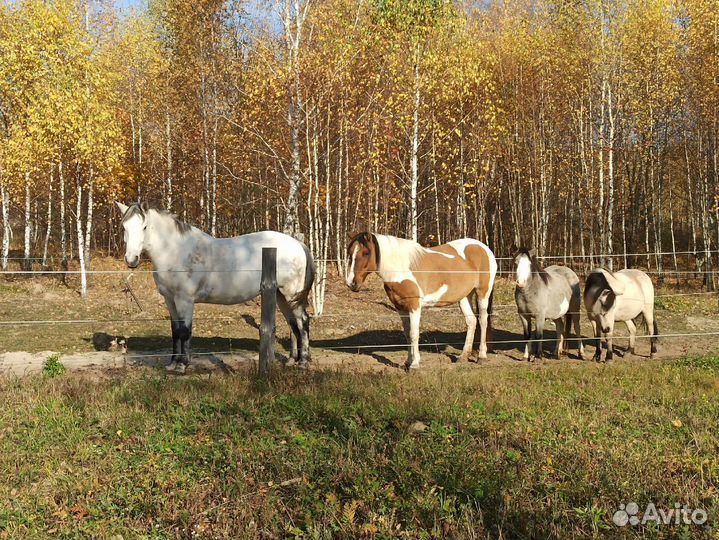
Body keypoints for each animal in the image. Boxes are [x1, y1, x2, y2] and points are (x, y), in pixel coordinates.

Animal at [115, 202, 315, 373]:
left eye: (144, 227)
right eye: (124, 227)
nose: (131, 260)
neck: (177, 251)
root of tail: (297, 244)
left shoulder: (185, 300)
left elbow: (185, 331)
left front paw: (182, 365)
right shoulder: (170, 300)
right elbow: (175, 331)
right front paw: (172, 363)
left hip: (291, 295)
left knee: (303, 322)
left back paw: (303, 362)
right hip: (281, 295)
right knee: (293, 324)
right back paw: (292, 360)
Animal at [345, 232, 497, 369]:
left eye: (366, 253)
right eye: (350, 253)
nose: (351, 283)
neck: (400, 268)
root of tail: (484, 248)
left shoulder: (414, 306)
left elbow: (414, 333)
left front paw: (415, 364)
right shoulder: (400, 307)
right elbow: (407, 334)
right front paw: (407, 362)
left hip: (482, 293)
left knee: (483, 320)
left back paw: (482, 356)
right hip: (464, 296)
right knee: (471, 321)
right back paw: (463, 357)